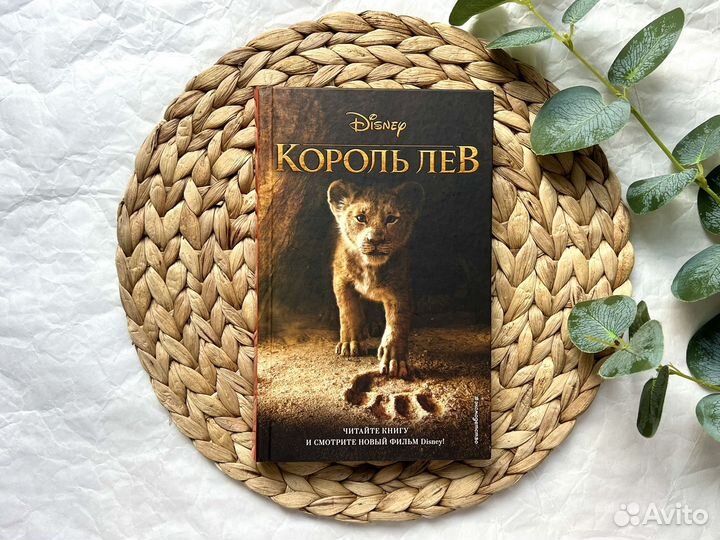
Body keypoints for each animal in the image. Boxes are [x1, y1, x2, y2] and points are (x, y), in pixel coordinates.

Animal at [327, 179, 425, 377]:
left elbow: (397, 323)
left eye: (391, 219)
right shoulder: (341, 279)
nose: (376, 240)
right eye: (360, 218)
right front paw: (350, 343)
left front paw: (395, 360)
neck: (370, 268)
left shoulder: (399, 287)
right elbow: (348, 311)